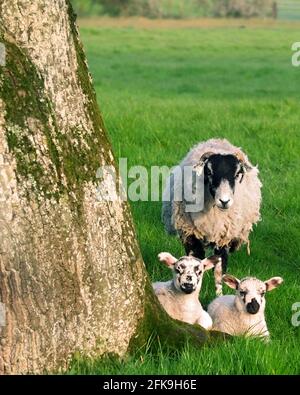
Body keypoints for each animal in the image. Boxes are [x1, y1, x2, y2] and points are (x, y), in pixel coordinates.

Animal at [161, 138, 262, 296]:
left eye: (237, 174)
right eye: (209, 172)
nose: (224, 201)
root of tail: (218, 139)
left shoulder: (223, 238)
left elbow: (220, 271)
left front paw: (219, 294)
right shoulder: (190, 235)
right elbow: (193, 261)